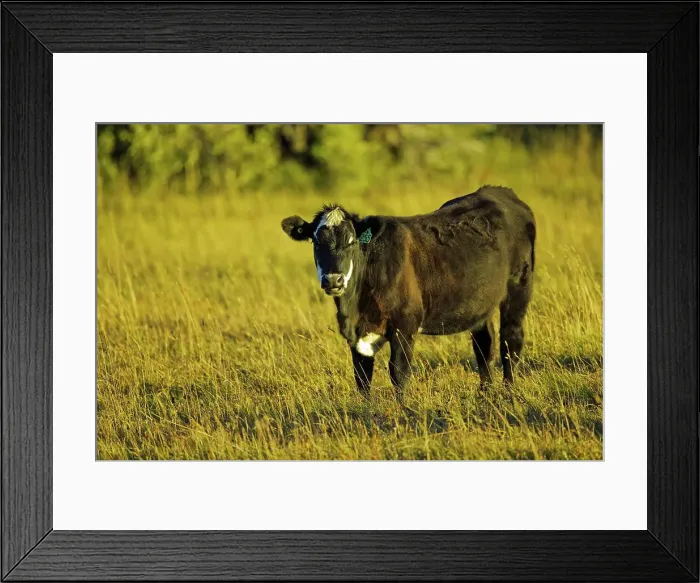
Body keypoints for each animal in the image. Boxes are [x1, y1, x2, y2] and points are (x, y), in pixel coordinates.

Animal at [281, 185, 536, 402]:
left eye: (351, 242)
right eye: (316, 242)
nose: (334, 279)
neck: (355, 309)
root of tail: (499, 192)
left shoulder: (405, 325)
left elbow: (399, 372)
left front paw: (402, 409)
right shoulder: (356, 336)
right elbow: (362, 378)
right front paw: (366, 410)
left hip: (519, 286)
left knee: (510, 341)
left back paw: (509, 393)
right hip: (480, 304)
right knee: (484, 345)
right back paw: (485, 394)